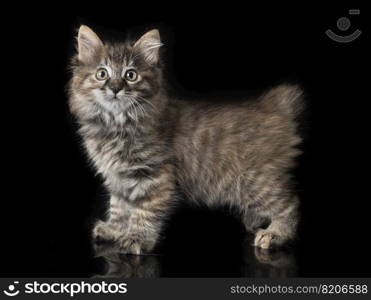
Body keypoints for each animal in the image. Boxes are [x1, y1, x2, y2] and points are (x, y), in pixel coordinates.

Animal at [69, 25, 306, 254]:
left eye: (130, 75)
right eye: (102, 73)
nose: (115, 88)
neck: (115, 124)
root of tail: (273, 106)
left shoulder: (154, 176)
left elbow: (143, 211)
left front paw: (137, 238)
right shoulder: (118, 177)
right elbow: (119, 207)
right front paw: (114, 229)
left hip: (255, 180)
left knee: (290, 203)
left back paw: (276, 233)